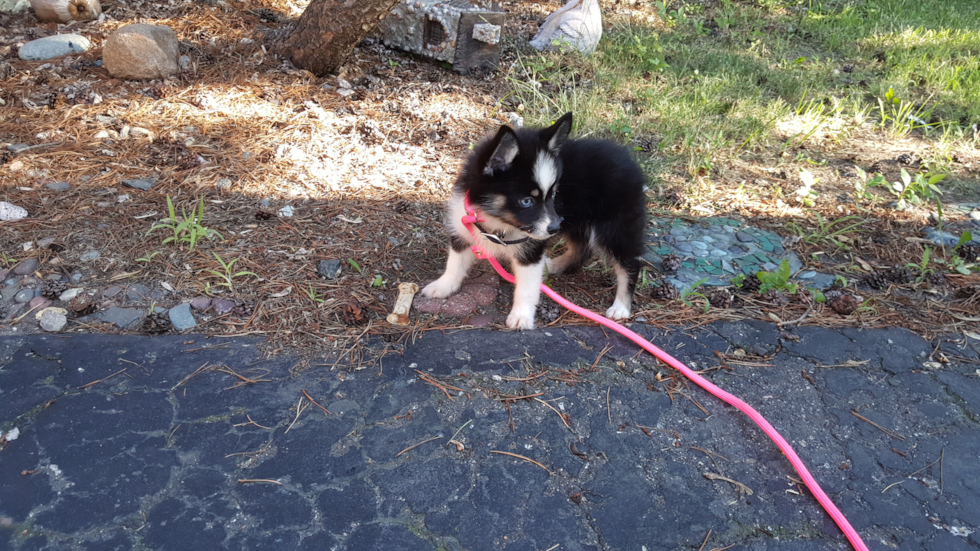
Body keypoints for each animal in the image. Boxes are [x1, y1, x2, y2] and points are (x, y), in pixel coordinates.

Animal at [420, 111, 644, 328]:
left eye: (553, 194)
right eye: (526, 201)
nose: (554, 228)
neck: (498, 221)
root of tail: (630, 161)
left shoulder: (531, 249)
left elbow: (527, 287)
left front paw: (521, 316)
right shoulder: (463, 228)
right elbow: (455, 262)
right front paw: (443, 285)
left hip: (615, 226)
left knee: (630, 263)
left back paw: (621, 306)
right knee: (581, 249)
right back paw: (555, 265)